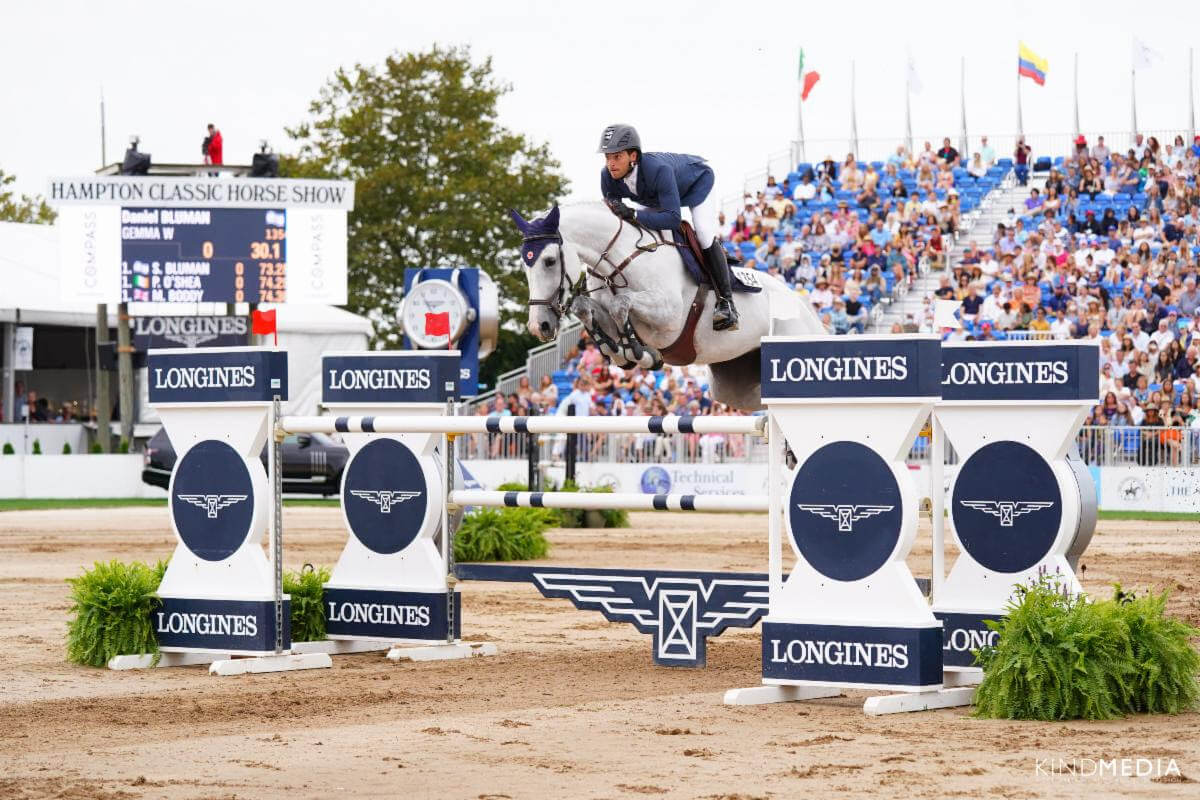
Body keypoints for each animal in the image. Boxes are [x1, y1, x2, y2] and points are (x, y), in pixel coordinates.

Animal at [506, 203, 825, 410]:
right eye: (524, 264)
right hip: (735, 387)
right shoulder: (603, 310)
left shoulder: (669, 317)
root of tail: (806, 308)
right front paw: (619, 352)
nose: (539, 326)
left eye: (549, 261)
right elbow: (586, 309)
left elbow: (622, 305)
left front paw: (639, 354)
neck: (620, 261)